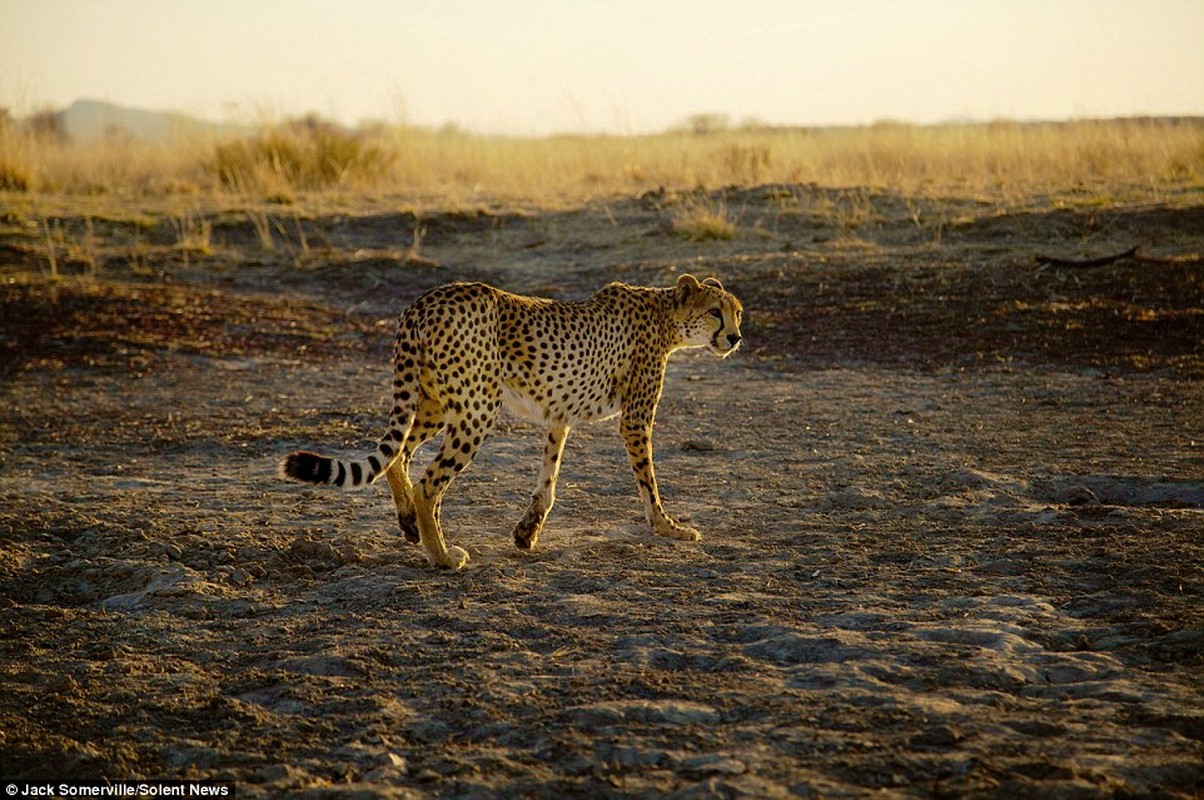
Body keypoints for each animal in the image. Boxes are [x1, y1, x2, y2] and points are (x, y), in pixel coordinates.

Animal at [280, 273, 741, 568]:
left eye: (737, 312)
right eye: (716, 312)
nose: (736, 337)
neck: (666, 317)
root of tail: (425, 300)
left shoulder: (559, 414)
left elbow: (549, 480)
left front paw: (527, 532)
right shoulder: (634, 420)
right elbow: (649, 482)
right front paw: (669, 528)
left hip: (434, 402)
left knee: (398, 458)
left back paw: (412, 525)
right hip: (477, 408)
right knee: (429, 482)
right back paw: (442, 555)